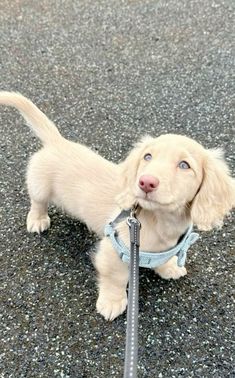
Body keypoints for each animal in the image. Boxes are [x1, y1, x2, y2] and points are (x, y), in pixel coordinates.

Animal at [0, 91, 234, 318]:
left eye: (185, 165)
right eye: (147, 156)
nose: (145, 182)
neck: (159, 221)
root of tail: (57, 141)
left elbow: (163, 259)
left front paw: (168, 268)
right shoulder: (114, 250)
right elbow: (117, 279)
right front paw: (112, 302)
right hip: (39, 185)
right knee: (37, 202)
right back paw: (38, 220)